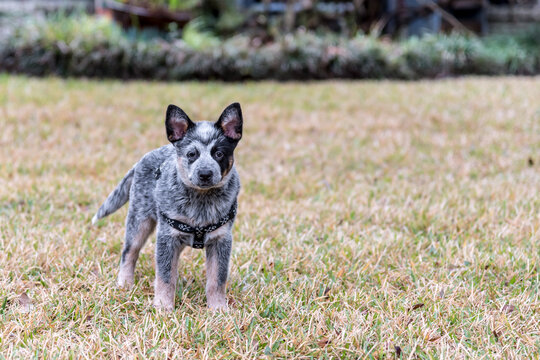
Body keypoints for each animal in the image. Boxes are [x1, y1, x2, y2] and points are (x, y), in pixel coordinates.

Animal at [92, 102, 243, 310]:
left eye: (219, 153)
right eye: (191, 154)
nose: (205, 173)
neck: (201, 202)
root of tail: (143, 159)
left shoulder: (221, 240)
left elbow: (217, 280)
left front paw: (218, 309)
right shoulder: (167, 237)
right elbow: (165, 277)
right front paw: (163, 307)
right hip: (139, 221)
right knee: (129, 252)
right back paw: (125, 284)